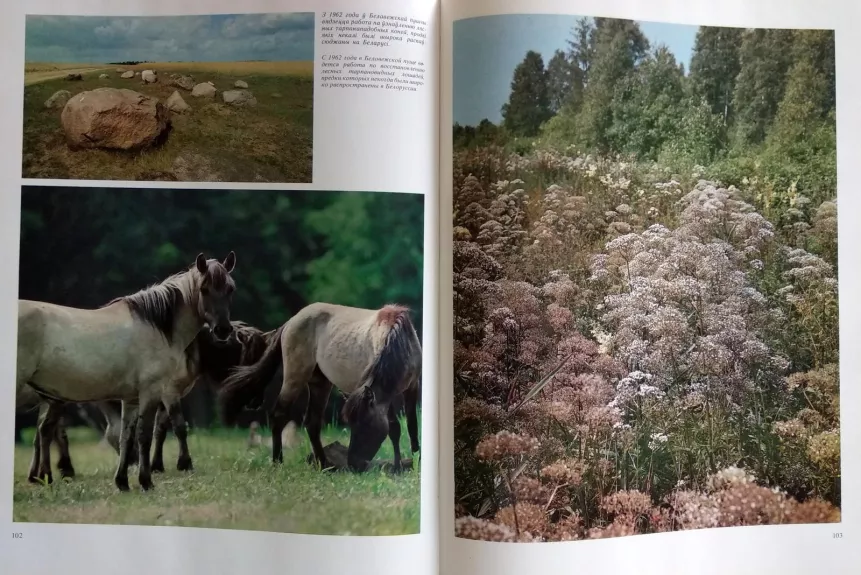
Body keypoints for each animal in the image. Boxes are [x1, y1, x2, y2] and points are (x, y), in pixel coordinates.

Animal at [16, 252, 237, 490]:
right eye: (204, 289)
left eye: (230, 288)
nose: (223, 330)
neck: (155, 326)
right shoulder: (153, 391)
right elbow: (145, 435)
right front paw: (146, 481)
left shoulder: (130, 399)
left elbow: (126, 437)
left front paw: (122, 481)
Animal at [217, 302, 422, 472]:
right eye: (352, 424)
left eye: (365, 424)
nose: (353, 464)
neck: (395, 338)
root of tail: (290, 322)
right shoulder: (384, 395)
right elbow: (395, 428)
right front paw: (398, 467)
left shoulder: (412, 387)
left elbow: (411, 426)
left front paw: (414, 463)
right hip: (295, 377)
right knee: (279, 414)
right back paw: (278, 462)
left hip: (320, 383)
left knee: (312, 422)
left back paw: (324, 465)